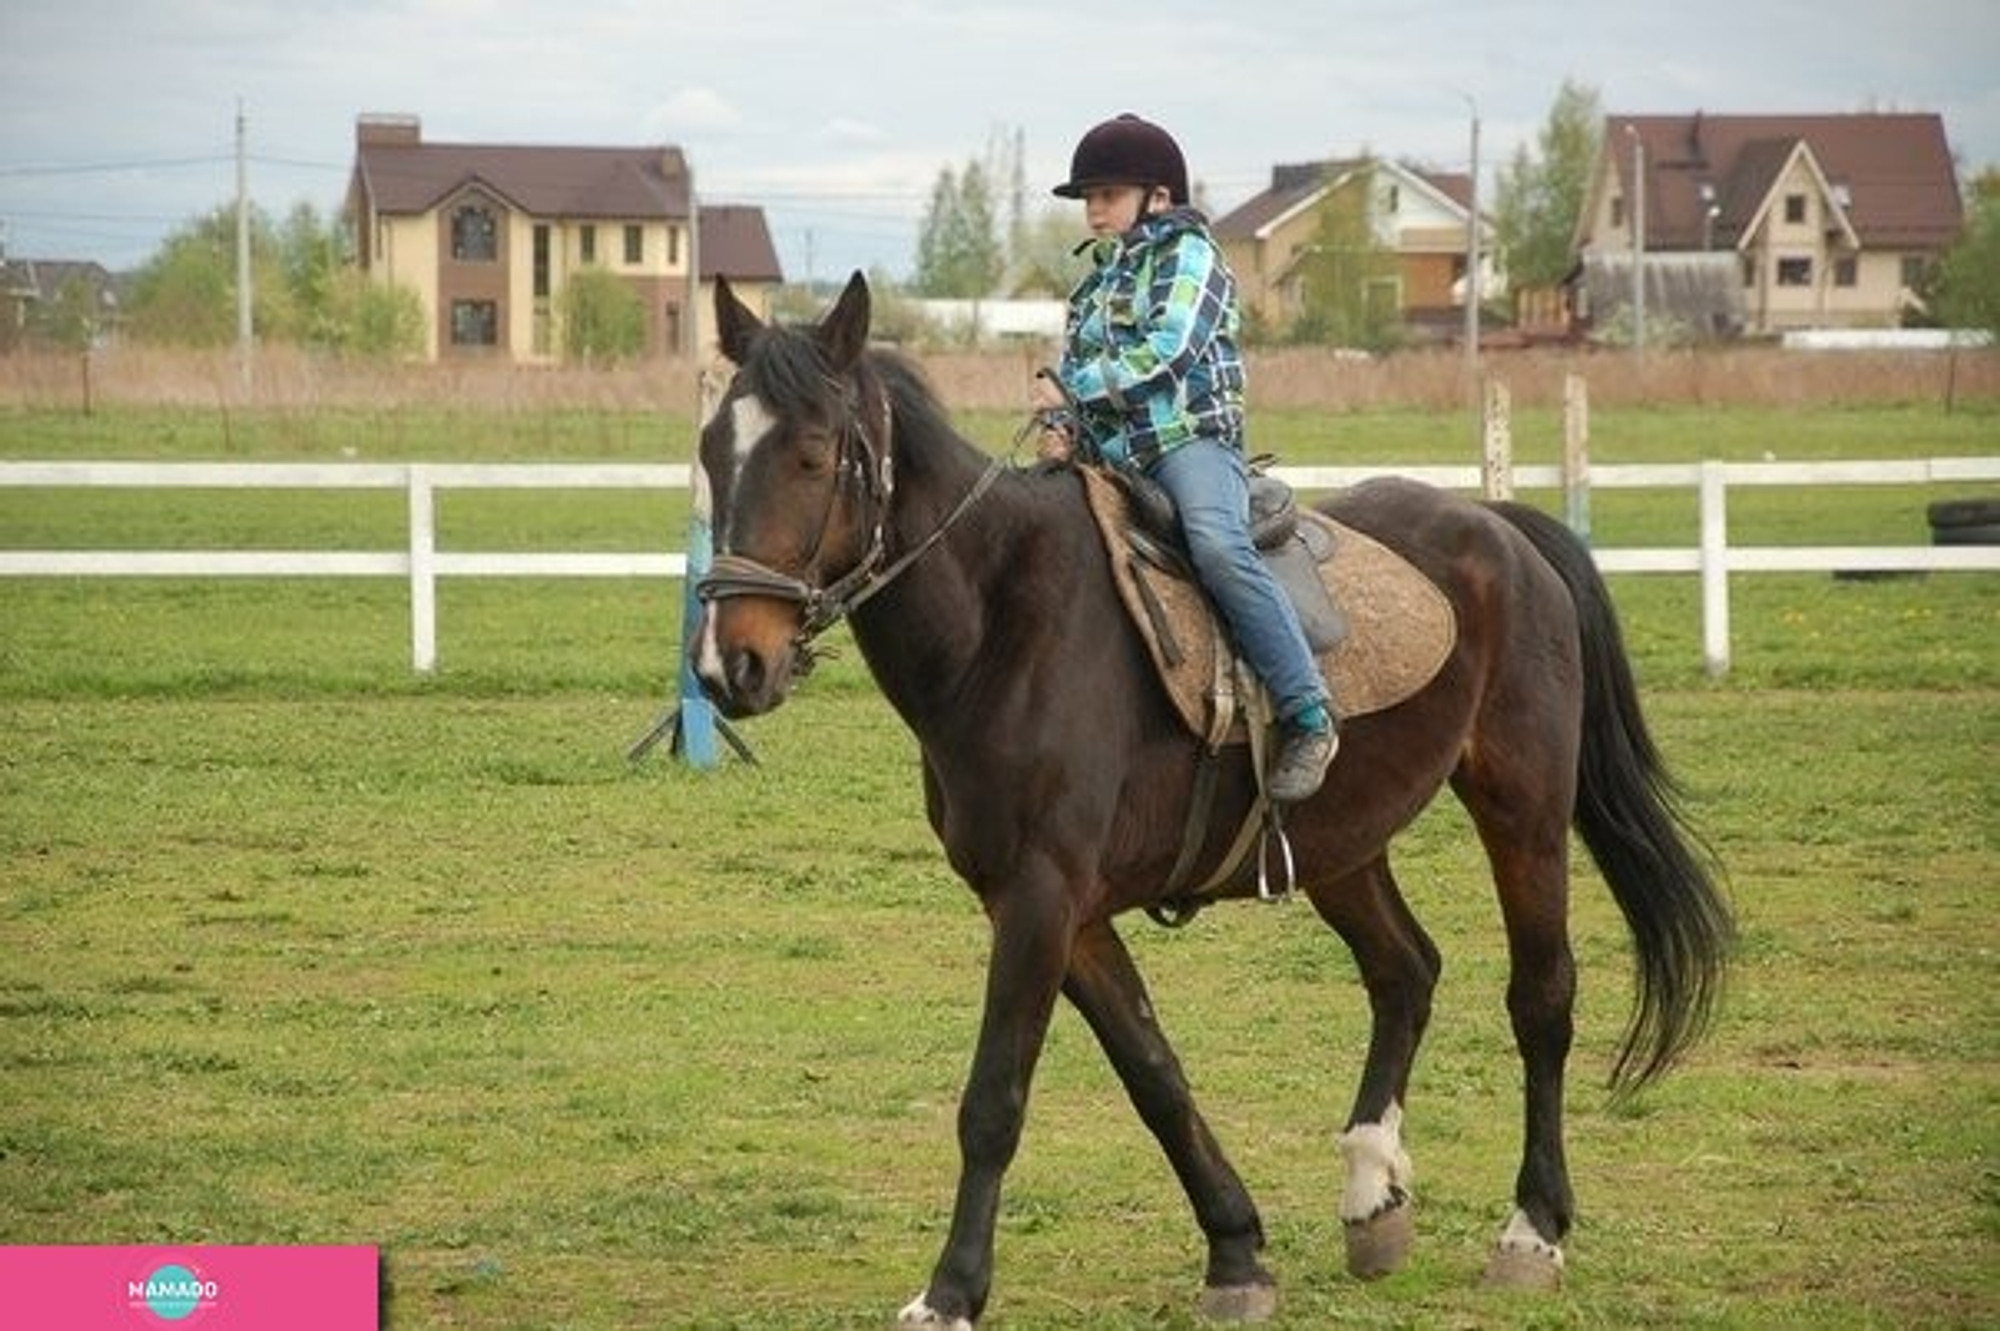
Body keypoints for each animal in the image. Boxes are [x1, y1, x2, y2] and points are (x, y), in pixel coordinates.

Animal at [688, 273, 1736, 1319]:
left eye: (814, 454)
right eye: (710, 453)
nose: (729, 666)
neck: (1000, 624)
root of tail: (1499, 527)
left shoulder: (1040, 897)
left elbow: (994, 1099)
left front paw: (950, 1292)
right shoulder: (1062, 910)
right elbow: (1155, 1072)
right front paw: (1236, 1251)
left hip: (1523, 807)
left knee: (1541, 997)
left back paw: (1532, 1228)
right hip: (1341, 843)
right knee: (1406, 971)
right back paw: (1371, 1193)